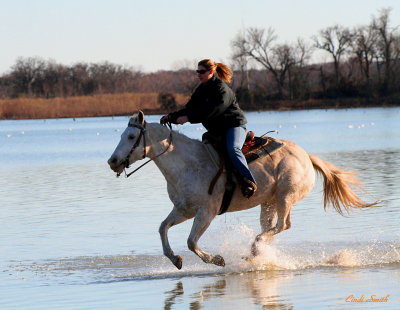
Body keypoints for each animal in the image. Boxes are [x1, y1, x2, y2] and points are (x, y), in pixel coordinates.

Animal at [107, 111, 376, 268]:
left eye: (130, 136)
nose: (112, 161)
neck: (187, 164)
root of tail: (306, 157)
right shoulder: (184, 210)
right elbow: (163, 228)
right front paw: (176, 259)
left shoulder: (206, 212)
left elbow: (192, 241)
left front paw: (216, 259)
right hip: (269, 202)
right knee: (272, 228)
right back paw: (256, 253)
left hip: (285, 196)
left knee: (282, 225)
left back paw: (254, 249)